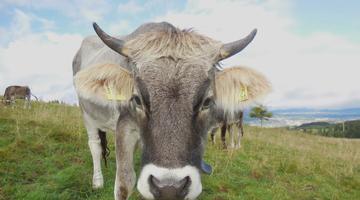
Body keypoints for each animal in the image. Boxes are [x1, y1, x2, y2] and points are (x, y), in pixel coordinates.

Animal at [73, 21, 270, 200]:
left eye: (207, 101)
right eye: (137, 99)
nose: (169, 187)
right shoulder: (124, 125)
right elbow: (124, 184)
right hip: (86, 114)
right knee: (95, 145)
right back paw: (97, 181)